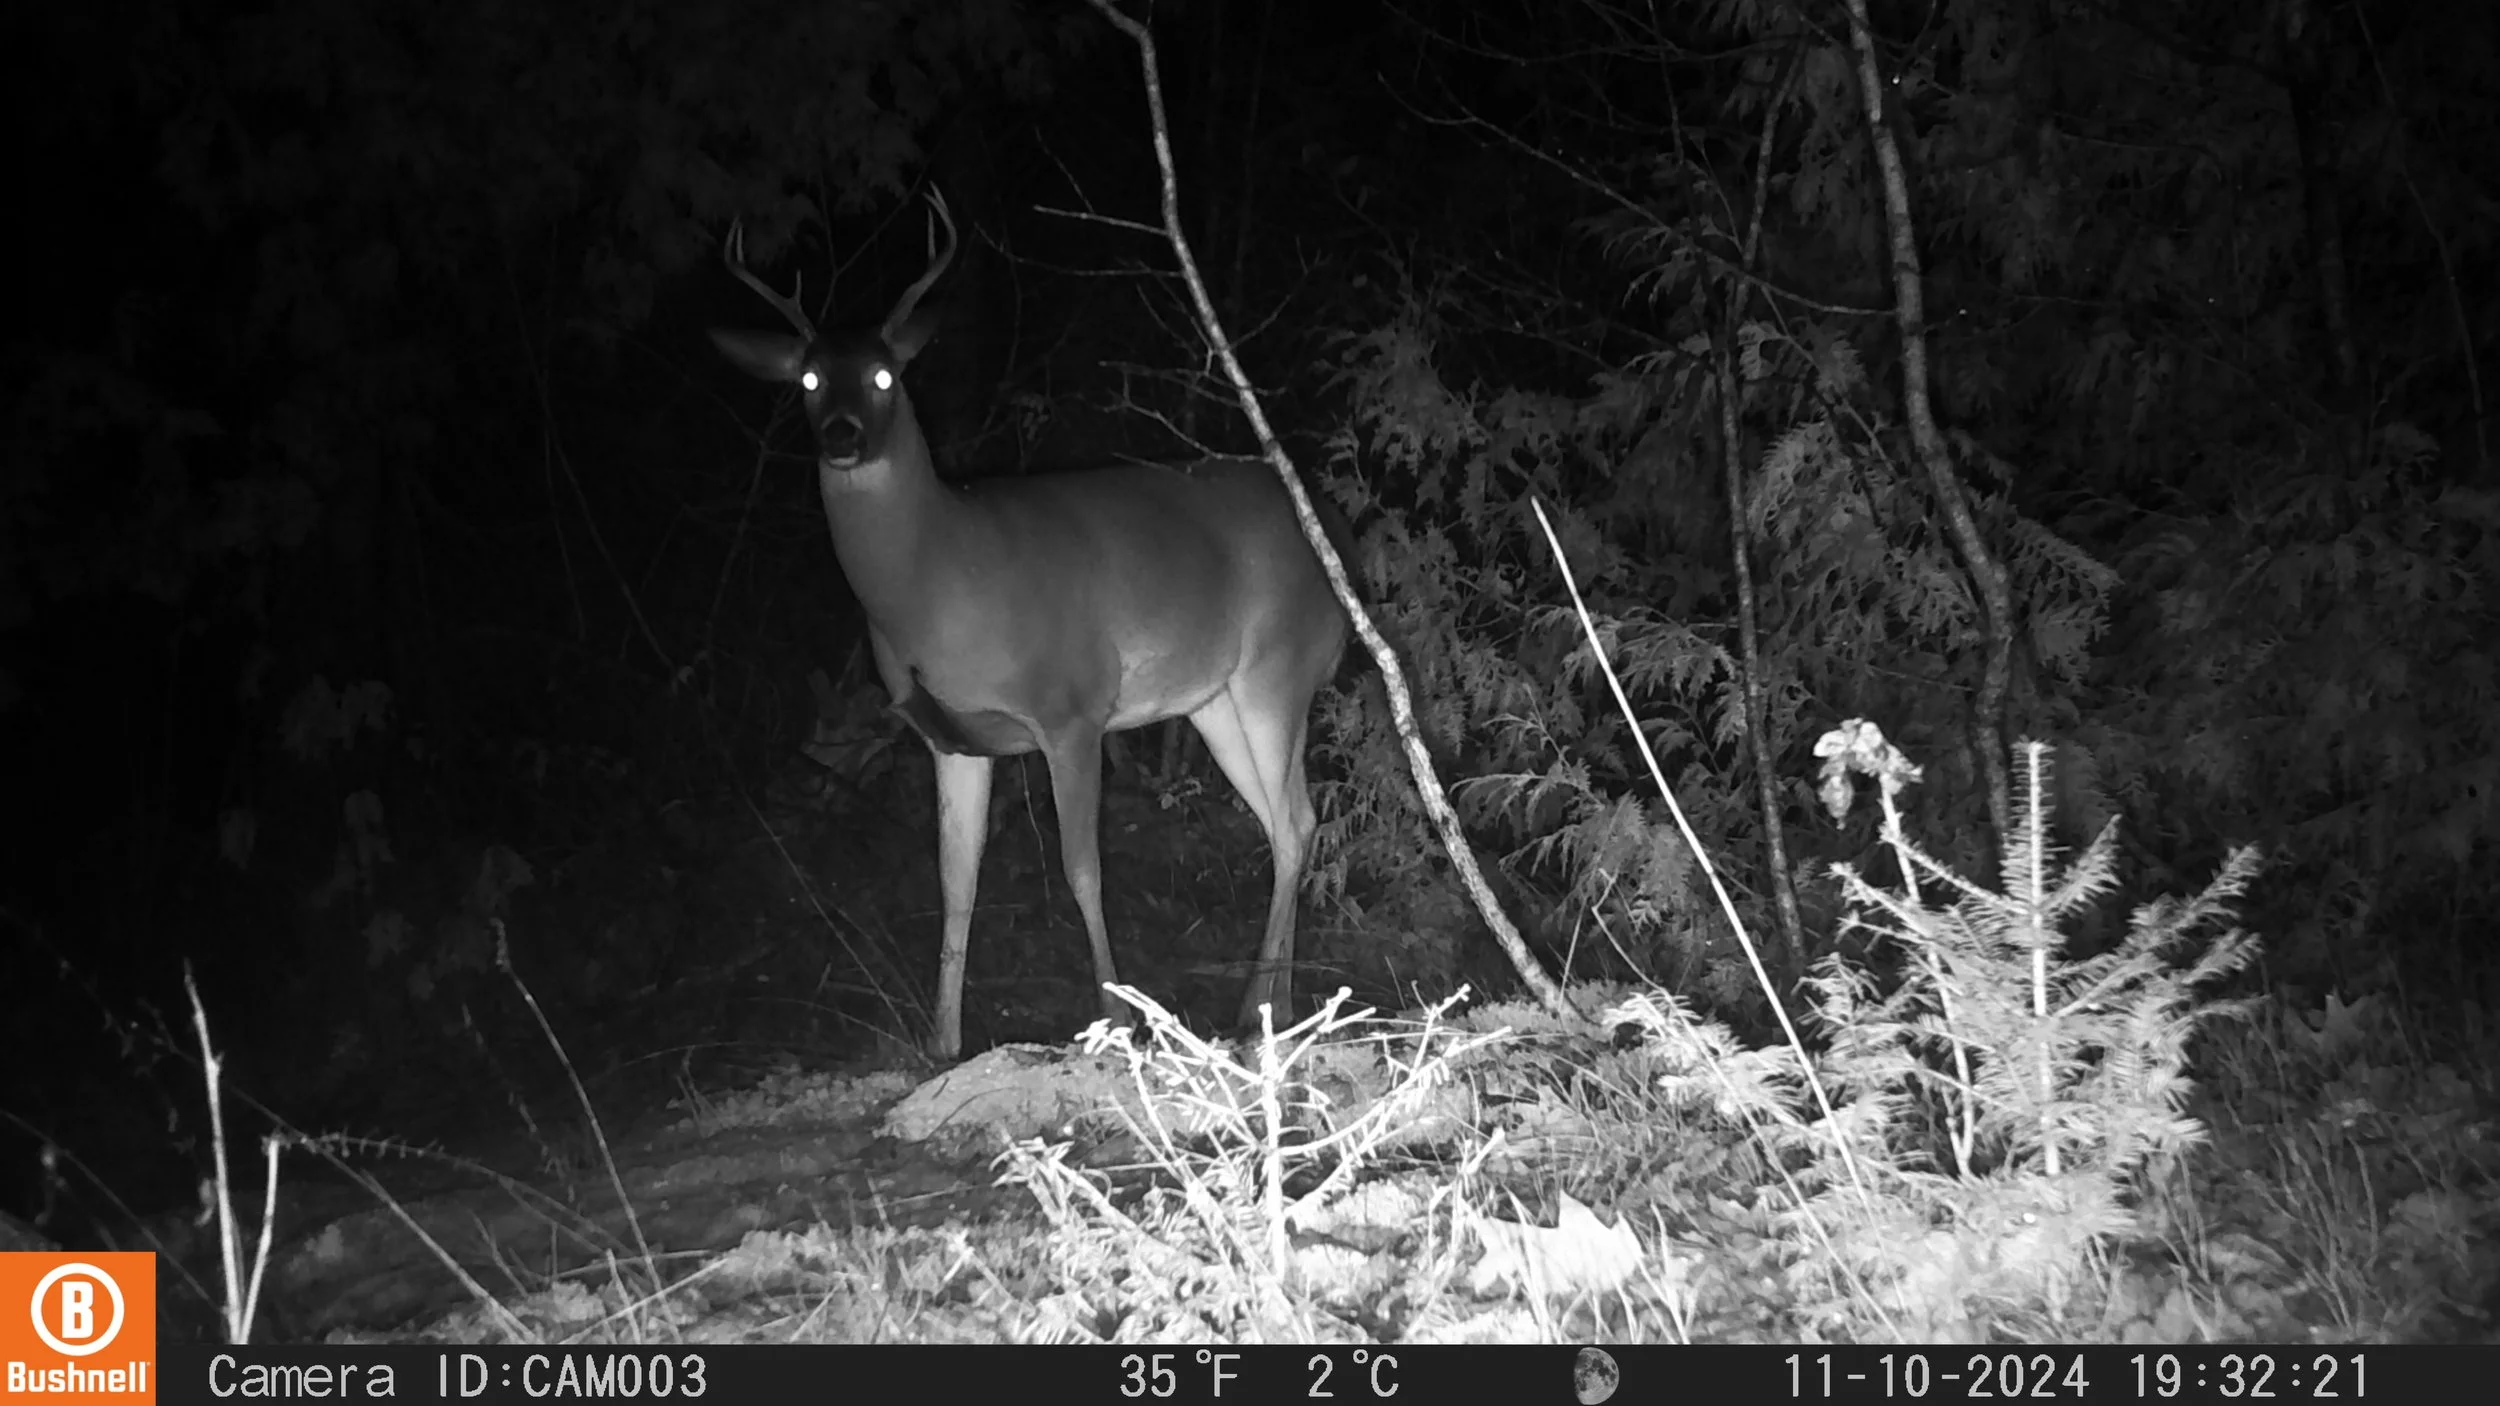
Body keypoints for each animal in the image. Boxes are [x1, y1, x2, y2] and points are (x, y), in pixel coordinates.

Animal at [711, 191, 1349, 1061]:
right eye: (809, 376)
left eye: (884, 373)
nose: (843, 435)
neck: (941, 580)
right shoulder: (948, 736)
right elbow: (955, 881)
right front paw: (943, 1042)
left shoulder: (1071, 708)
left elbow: (1083, 868)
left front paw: (1118, 1021)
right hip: (1211, 700)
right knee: (1289, 822)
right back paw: (1274, 1009)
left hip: (1276, 671)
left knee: (1295, 819)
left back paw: (1258, 1011)